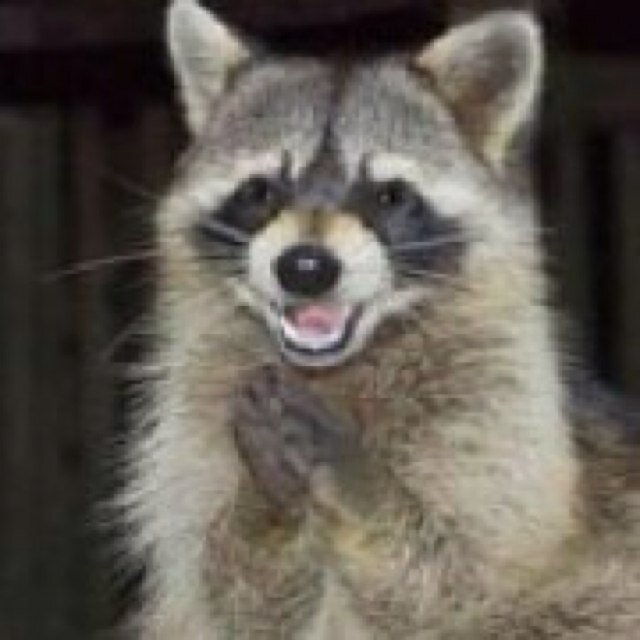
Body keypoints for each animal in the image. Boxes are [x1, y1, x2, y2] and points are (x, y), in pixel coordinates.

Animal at [121, 0, 640, 637]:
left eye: (389, 195)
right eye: (260, 191)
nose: (306, 268)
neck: (337, 369)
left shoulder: (504, 428)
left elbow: (459, 587)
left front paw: (358, 481)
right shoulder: (193, 439)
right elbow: (228, 598)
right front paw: (262, 503)